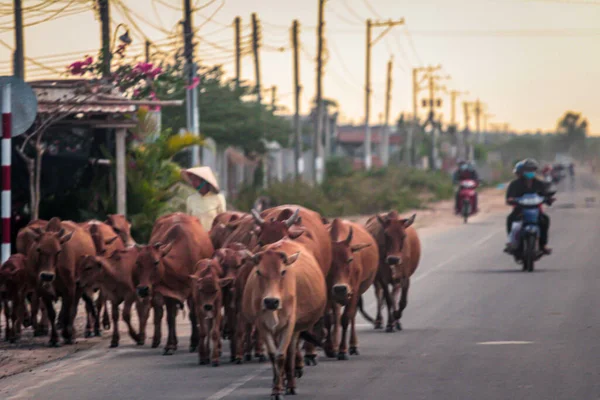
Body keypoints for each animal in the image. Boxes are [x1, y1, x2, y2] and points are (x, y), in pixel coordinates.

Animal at [26, 217, 97, 346]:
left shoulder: (70, 288)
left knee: (74, 308)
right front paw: (54, 339)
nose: (47, 276)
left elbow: (69, 311)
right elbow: (51, 313)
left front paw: (68, 335)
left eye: (58, 251)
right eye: (39, 249)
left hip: (79, 288)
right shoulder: (43, 291)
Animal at [135, 214, 213, 354]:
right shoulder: (169, 293)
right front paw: (170, 345)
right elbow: (170, 318)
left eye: (156, 262)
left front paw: (194, 342)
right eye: (138, 263)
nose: (142, 289)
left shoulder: (193, 291)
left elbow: (193, 315)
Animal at [240, 239, 328, 398]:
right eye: (258, 272)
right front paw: (276, 387)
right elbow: (273, 354)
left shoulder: (289, 324)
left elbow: (281, 355)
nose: (271, 301)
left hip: (295, 328)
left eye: (283, 271)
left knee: (291, 353)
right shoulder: (262, 325)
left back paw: (291, 383)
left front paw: (281, 388)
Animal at [326, 219, 378, 360]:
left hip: (357, 292)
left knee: (352, 316)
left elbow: (346, 319)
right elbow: (330, 319)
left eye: (350, 259)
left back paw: (353, 346)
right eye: (330, 261)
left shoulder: (353, 291)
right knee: (336, 316)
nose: (340, 288)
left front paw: (343, 350)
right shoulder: (329, 293)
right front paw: (331, 348)